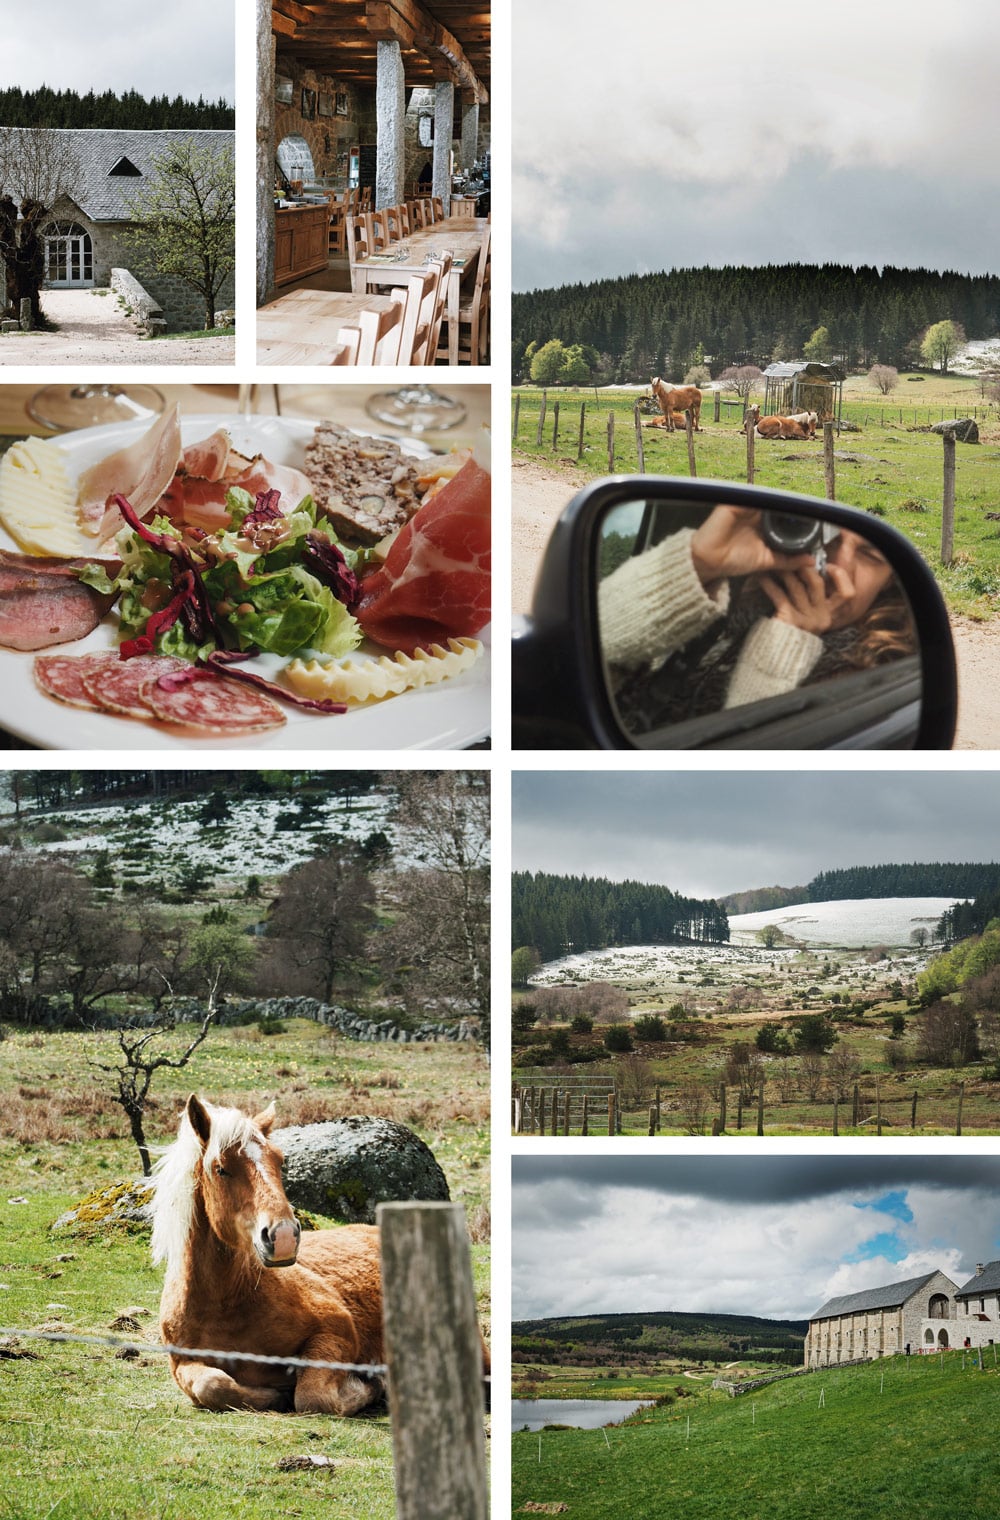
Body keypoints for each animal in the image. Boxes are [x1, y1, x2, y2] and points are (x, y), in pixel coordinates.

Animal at [149, 1094, 382, 1410]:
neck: (227, 1306)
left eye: (280, 1161)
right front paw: (271, 1395)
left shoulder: (337, 1330)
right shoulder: (183, 1364)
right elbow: (212, 1385)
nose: (283, 1236)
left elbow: (312, 1397)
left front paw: (368, 1386)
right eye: (221, 1168)